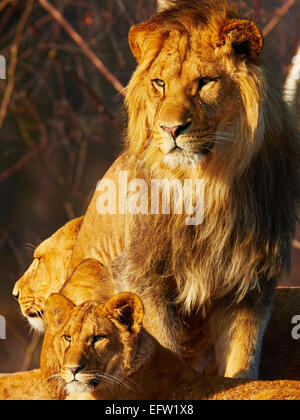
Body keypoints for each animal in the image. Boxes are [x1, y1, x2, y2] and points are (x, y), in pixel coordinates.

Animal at [66, 0, 300, 380]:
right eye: (159, 83)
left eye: (205, 83)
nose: (170, 128)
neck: (206, 187)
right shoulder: (143, 275)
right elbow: (159, 345)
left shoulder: (252, 282)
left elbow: (242, 358)